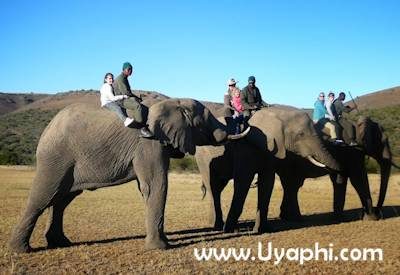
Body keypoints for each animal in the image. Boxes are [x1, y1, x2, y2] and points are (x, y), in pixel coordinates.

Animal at [8, 98, 250, 253]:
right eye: (204, 121)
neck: (170, 103)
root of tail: (48, 128)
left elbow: (149, 189)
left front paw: (162, 241)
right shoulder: (148, 144)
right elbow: (156, 185)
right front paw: (160, 248)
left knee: (61, 200)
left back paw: (60, 243)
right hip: (56, 157)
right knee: (43, 196)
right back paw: (20, 250)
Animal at [195, 105, 340, 233]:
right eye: (301, 134)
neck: (277, 114)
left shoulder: (273, 150)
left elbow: (267, 183)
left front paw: (263, 229)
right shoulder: (246, 147)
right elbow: (243, 181)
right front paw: (230, 230)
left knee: (218, 187)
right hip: (203, 157)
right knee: (212, 186)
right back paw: (218, 226)